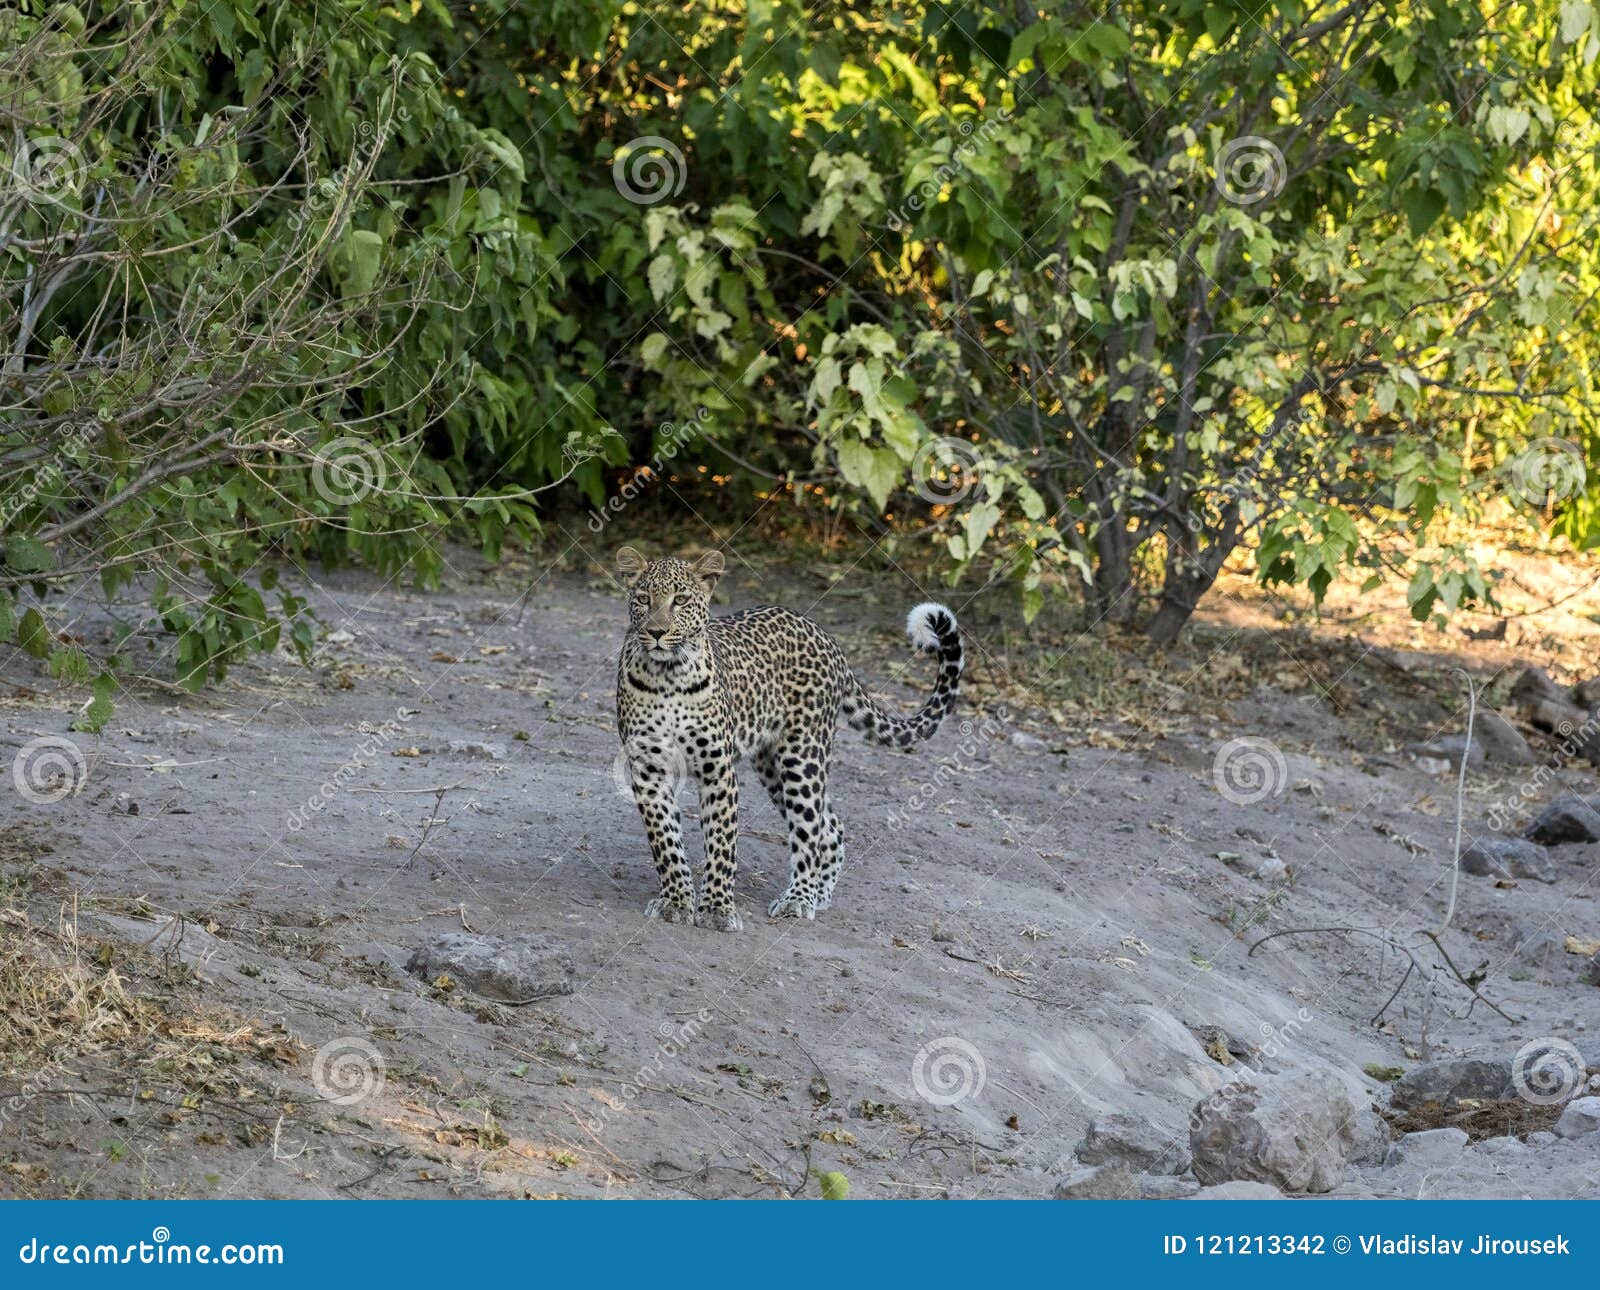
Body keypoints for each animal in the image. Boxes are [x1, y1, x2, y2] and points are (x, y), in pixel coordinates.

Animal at [611, 550, 960, 934]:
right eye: (644, 599)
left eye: (681, 600)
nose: (656, 632)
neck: (668, 675)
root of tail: (824, 634)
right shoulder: (648, 769)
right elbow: (665, 840)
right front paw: (675, 901)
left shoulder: (718, 769)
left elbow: (721, 844)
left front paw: (717, 908)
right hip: (771, 765)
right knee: (830, 826)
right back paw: (819, 892)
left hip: (803, 758)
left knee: (810, 829)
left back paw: (800, 898)